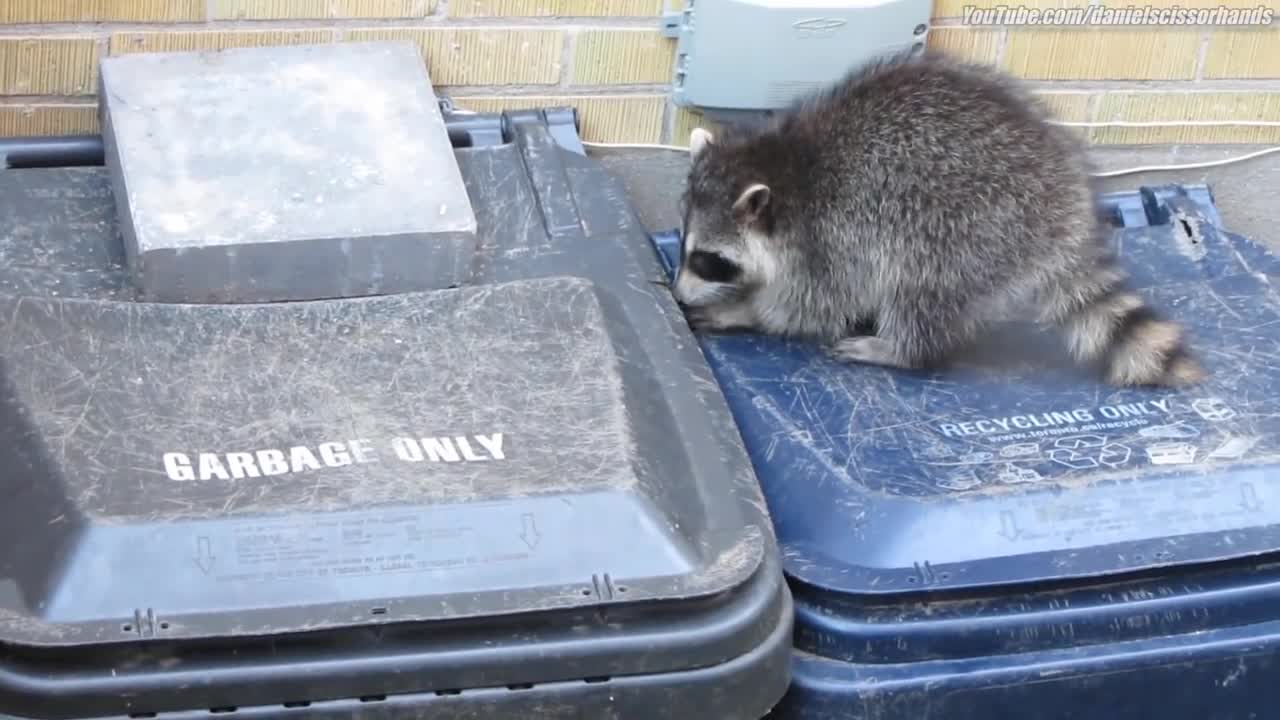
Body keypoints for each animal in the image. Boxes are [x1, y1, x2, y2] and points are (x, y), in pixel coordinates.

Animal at [675, 49, 1203, 386]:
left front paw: (743, 310)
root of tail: (1068, 206)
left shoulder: (831, 239)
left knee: (918, 287)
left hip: (966, 224)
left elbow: (811, 307)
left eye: (708, 260)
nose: (678, 292)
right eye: (685, 247)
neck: (783, 168)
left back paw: (902, 349)